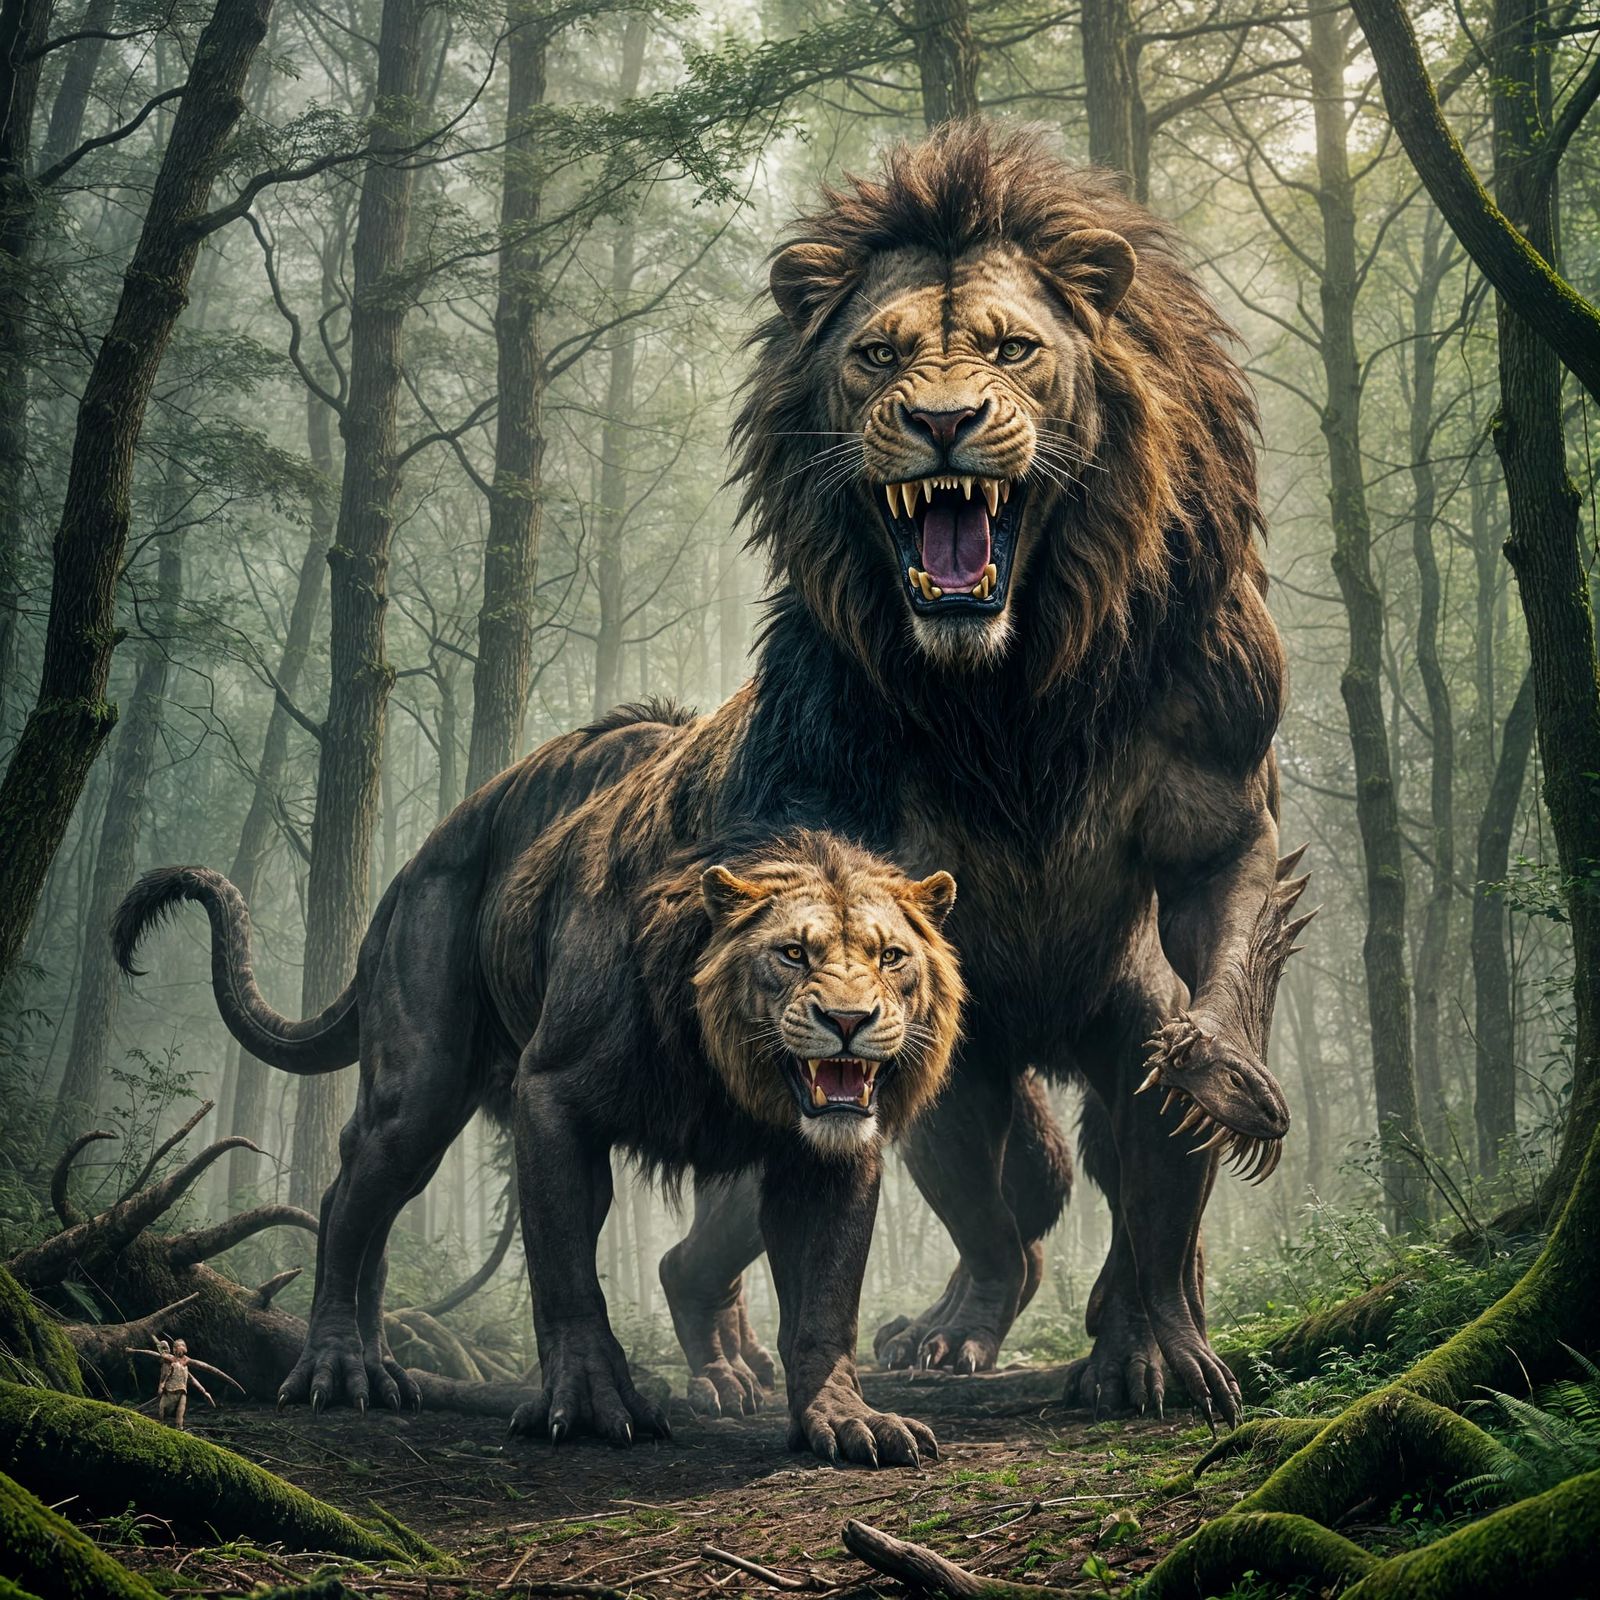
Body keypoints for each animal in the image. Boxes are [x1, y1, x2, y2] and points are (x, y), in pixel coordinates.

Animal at [115, 734, 961, 1468]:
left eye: (892, 956)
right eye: (791, 953)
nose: (848, 1021)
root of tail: (408, 871)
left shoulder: (835, 1151)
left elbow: (826, 1296)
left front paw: (845, 1419)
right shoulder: (552, 1092)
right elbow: (563, 1264)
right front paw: (591, 1404)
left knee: (378, 1219)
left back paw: (383, 1368)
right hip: (418, 1091)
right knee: (348, 1199)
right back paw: (336, 1368)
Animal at [654, 122, 1307, 1426]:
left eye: (1012, 349)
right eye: (876, 354)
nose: (945, 421)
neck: (1012, 686)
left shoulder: (1216, 785)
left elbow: (1214, 949)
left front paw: (1225, 1082)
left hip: (1112, 1009)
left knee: (1121, 1176)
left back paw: (1148, 1344)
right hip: (956, 1063)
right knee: (982, 1218)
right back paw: (869, 1342)